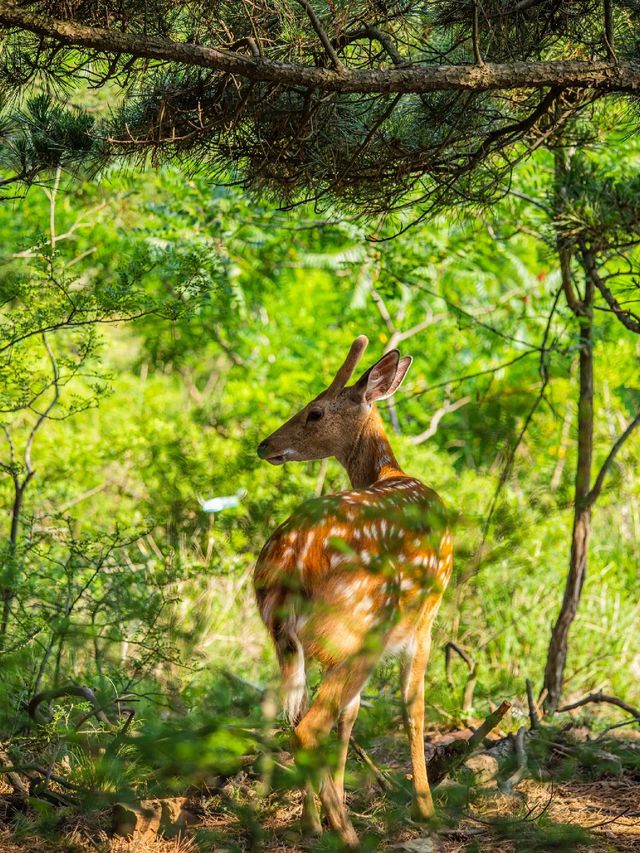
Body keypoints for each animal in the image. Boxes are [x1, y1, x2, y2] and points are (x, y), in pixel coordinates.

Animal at [252, 336, 452, 848]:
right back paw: (347, 834)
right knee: (309, 726)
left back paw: (316, 823)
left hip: (292, 638)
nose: (265, 445)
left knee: (301, 717)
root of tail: (290, 561)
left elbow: (351, 719)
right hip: (366, 623)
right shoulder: (426, 618)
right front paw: (426, 808)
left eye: (315, 411)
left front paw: (321, 812)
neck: (389, 472)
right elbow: (413, 706)